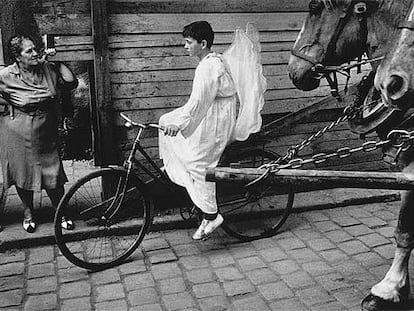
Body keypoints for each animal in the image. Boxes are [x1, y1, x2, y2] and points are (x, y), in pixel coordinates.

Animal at [286, 1, 414, 310]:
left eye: (315, 7)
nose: (293, 70)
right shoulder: (405, 163)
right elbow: (403, 229)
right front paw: (394, 287)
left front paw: (389, 288)